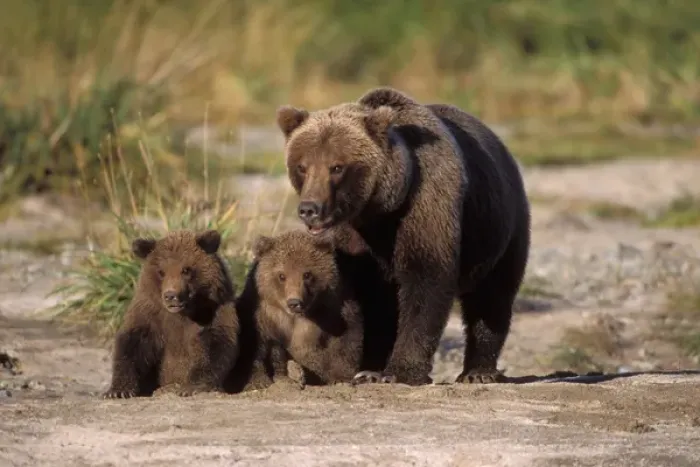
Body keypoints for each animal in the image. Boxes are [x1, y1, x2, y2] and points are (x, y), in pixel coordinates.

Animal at [102, 229, 241, 398]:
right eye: (161, 271)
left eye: (186, 269)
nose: (171, 295)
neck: (183, 313)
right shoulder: (151, 312)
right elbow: (133, 344)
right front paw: (119, 390)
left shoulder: (214, 310)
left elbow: (215, 345)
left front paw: (192, 386)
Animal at [236, 229, 365, 386]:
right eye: (282, 275)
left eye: (307, 274)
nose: (294, 302)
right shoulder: (264, 314)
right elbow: (256, 345)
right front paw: (258, 380)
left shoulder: (333, 309)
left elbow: (346, 339)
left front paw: (341, 377)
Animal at [275, 86, 531, 386]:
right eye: (302, 166)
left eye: (337, 167)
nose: (310, 209)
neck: (380, 211)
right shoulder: (352, 237)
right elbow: (362, 297)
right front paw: (367, 368)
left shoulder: (424, 207)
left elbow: (425, 282)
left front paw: (400, 370)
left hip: (498, 229)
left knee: (492, 296)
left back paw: (478, 371)